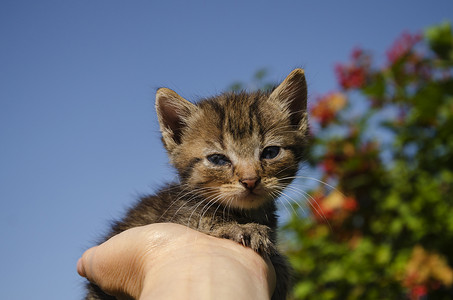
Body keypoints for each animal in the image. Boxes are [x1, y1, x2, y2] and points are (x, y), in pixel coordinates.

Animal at [85, 68, 308, 300]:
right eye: (218, 159)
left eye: (271, 152)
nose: (250, 180)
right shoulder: (179, 215)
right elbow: (206, 220)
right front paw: (241, 228)